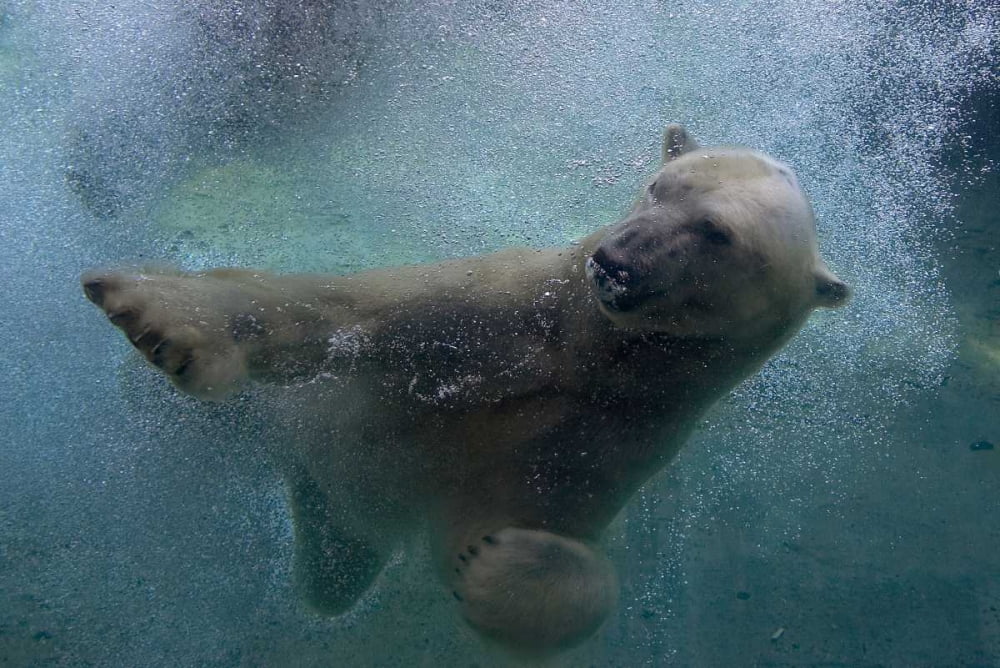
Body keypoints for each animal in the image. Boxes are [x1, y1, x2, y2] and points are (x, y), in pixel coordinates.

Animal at [81, 125, 850, 656]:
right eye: (662, 186)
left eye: (716, 232)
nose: (616, 260)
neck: (587, 357)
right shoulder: (502, 308)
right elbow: (341, 314)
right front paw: (156, 313)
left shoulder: (612, 435)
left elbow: (503, 530)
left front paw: (498, 564)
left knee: (337, 549)